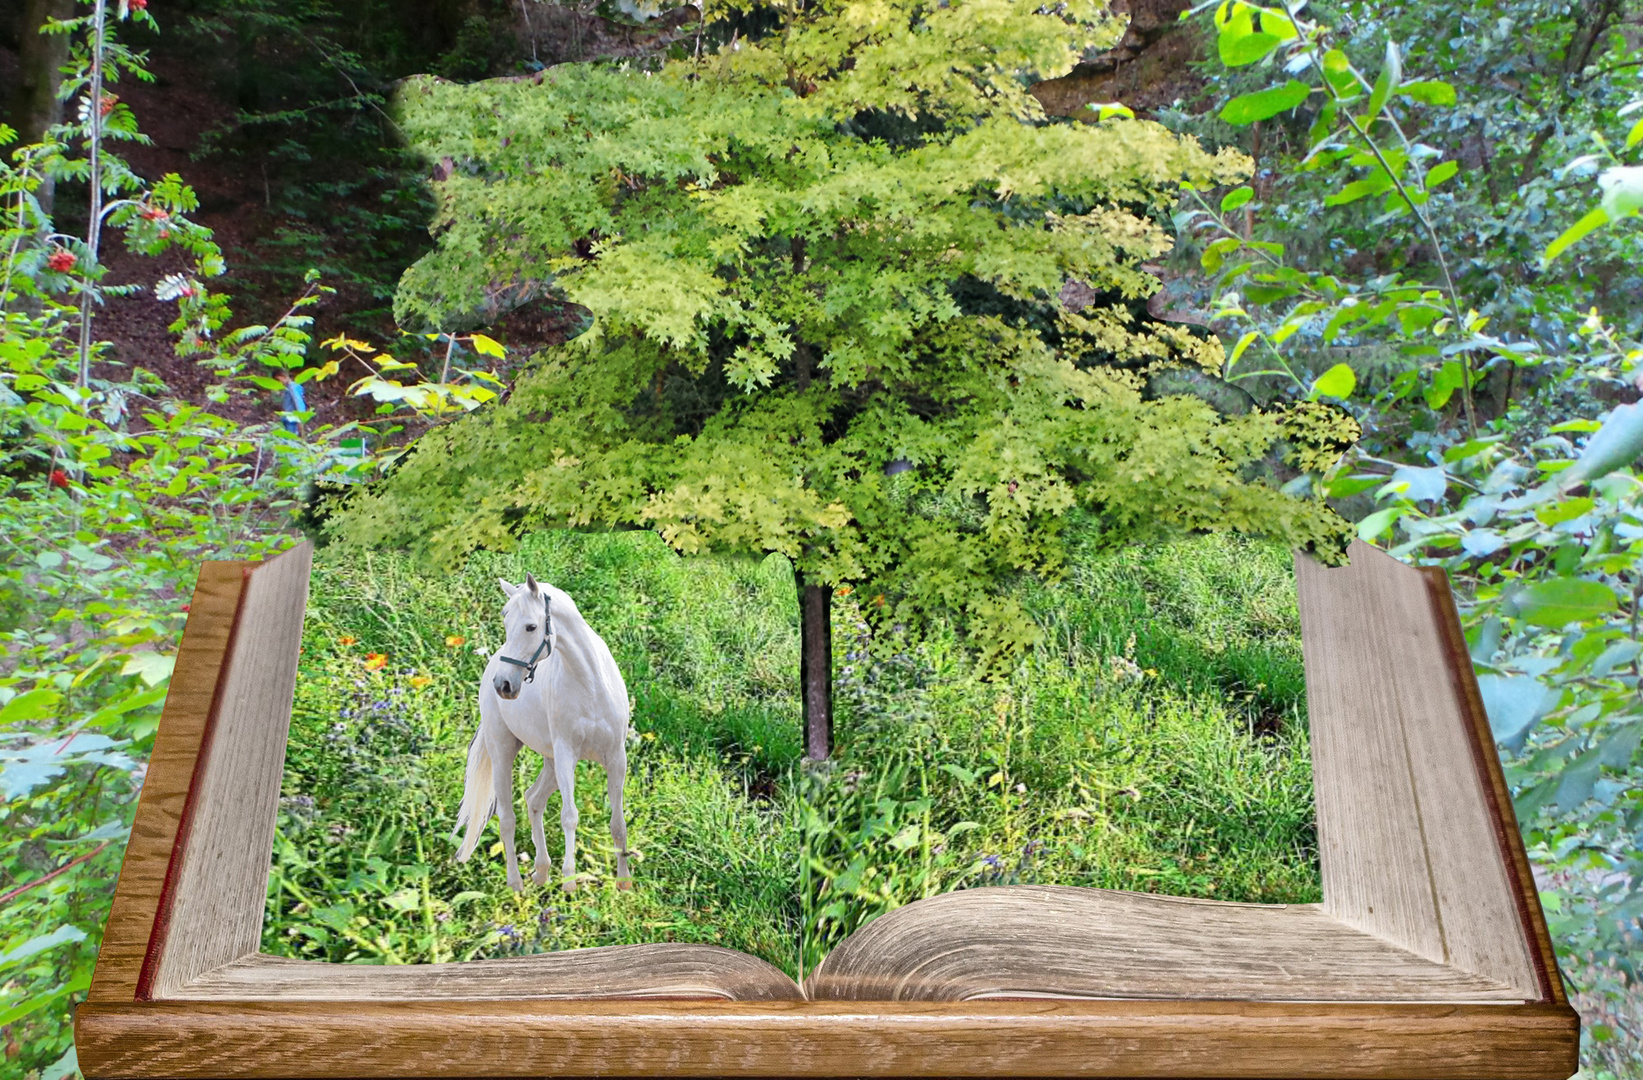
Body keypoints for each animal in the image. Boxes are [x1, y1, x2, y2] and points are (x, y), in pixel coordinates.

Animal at [453, 572, 630, 894]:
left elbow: (617, 823)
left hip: (550, 763)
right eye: (505, 622)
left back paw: (542, 871)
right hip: (504, 752)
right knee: (507, 818)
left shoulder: (615, 758)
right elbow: (569, 816)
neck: (591, 685)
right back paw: (517, 882)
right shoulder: (566, 754)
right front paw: (570, 880)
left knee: (533, 799)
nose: (503, 685)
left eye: (531, 626)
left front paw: (624, 883)